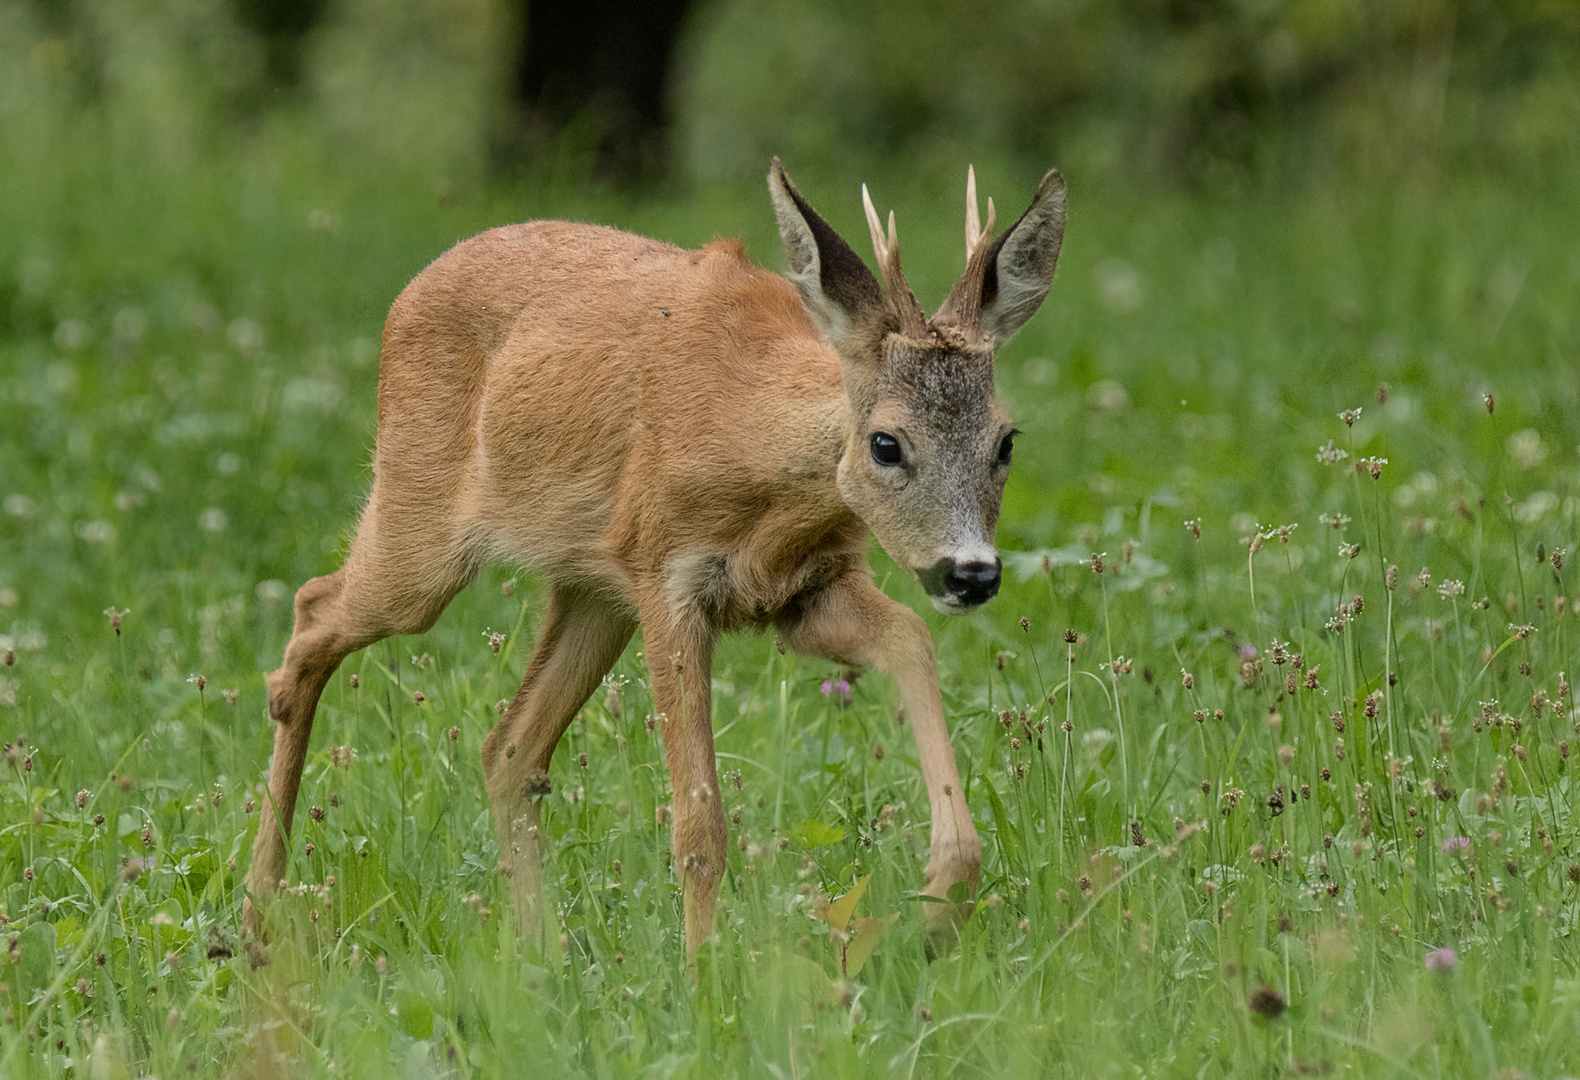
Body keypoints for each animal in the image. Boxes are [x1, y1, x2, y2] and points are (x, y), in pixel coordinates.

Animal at [243, 157, 1061, 953]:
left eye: (1006, 441)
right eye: (886, 443)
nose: (971, 574)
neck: (763, 470)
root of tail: (410, 290)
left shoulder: (806, 591)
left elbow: (912, 638)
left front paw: (942, 903)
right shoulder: (670, 574)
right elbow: (699, 825)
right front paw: (705, 980)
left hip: (594, 592)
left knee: (508, 750)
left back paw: (539, 957)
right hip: (421, 528)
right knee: (311, 609)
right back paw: (257, 918)